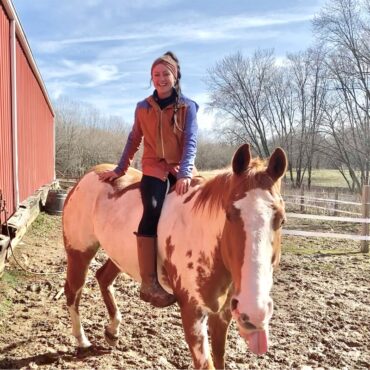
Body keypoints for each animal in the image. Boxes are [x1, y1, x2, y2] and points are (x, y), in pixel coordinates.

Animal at [63, 143, 288, 368]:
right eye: (229, 214)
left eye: (281, 220)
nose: (255, 312)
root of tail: (90, 174)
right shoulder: (192, 314)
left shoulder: (223, 314)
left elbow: (219, 356)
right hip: (79, 253)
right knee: (73, 291)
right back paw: (82, 340)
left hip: (119, 256)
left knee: (103, 278)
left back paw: (112, 331)